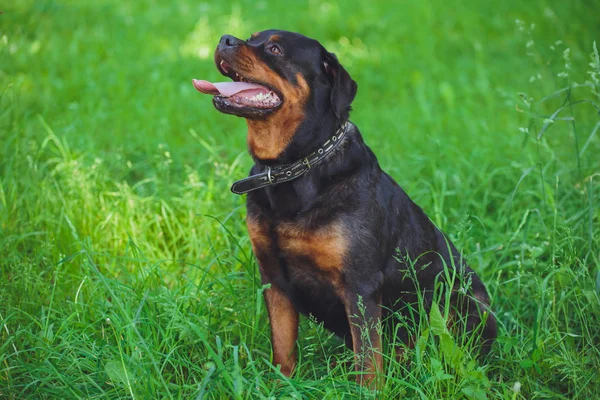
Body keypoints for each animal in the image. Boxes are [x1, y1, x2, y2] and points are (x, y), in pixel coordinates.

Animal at [192, 29, 496, 386]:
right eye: (251, 37)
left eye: (275, 49)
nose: (225, 38)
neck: (294, 166)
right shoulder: (274, 278)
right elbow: (282, 347)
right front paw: (283, 385)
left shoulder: (360, 285)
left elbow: (367, 359)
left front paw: (368, 390)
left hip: (459, 302)